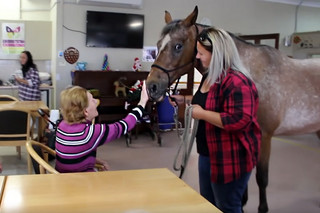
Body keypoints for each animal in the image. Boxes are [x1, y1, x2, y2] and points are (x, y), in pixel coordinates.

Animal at [146, 5, 320, 212]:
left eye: (178, 46)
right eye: (158, 44)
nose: (151, 86)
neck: (250, 73)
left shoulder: (264, 137)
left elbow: (261, 178)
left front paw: (262, 208)